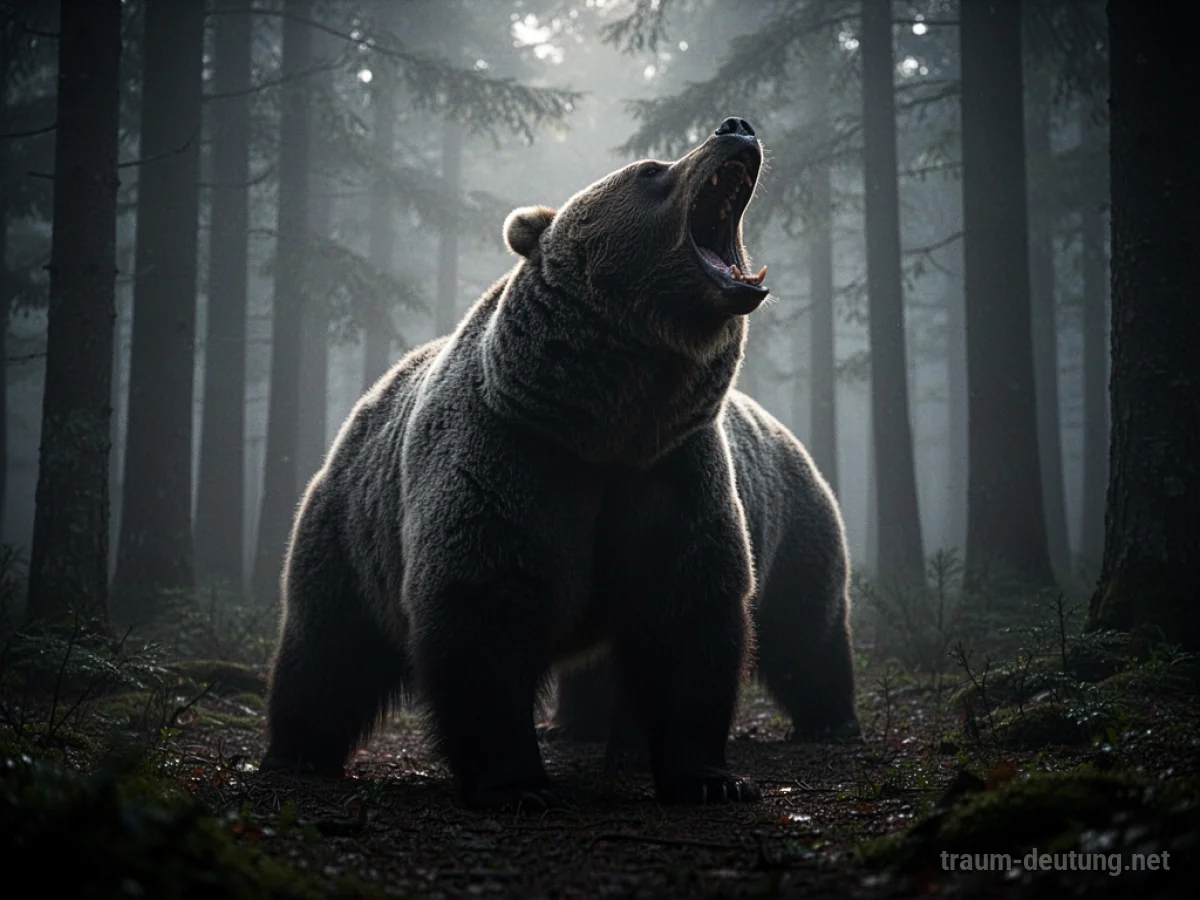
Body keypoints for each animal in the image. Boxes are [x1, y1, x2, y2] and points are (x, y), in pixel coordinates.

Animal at [263, 117, 777, 811]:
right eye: (652, 169)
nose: (736, 127)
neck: (609, 419)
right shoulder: (513, 458)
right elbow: (485, 609)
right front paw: (516, 784)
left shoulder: (669, 470)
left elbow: (690, 613)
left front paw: (710, 778)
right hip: (351, 531)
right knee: (326, 649)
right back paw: (296, 753)